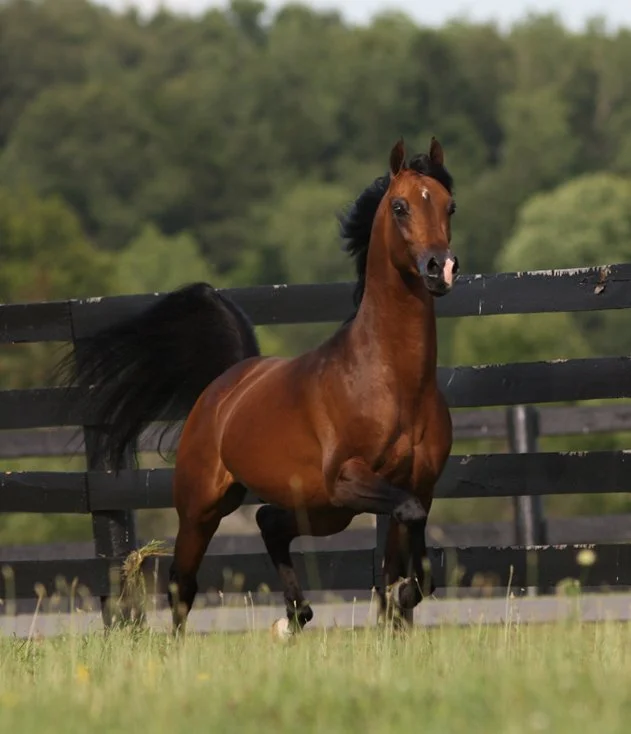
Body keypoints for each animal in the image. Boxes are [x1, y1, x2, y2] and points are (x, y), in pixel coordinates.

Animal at [57, 136, 458, 638]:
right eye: (400, 206)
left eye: (450, 205)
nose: (439, 268)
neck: (393, 383)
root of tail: (230, 379)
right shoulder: (348, 478)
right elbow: (406, 531)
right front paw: (401, 597)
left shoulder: (418, 485)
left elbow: (407, 546)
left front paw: (400, 603)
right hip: (206, 507)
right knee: (182, 582)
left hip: (323, 510)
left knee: (269, 521)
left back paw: (295, 615)